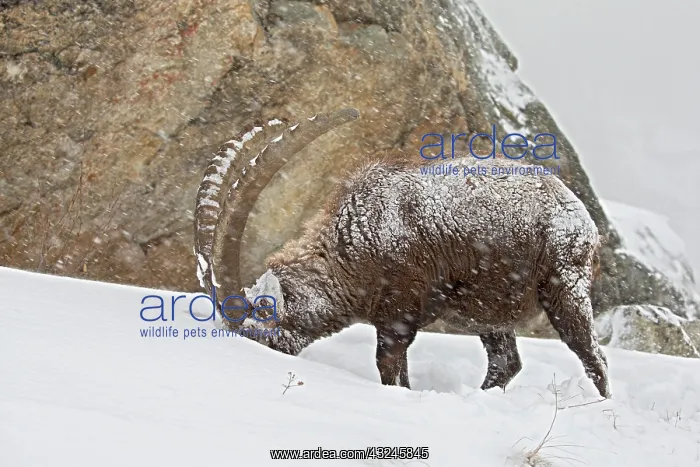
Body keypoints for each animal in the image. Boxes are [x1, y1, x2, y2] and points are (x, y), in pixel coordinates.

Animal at [193, 108, 611, 398]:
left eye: (264, 336)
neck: (352, 249)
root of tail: (583, 217)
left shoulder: (399, 314)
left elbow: (389, 369)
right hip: (488, 310)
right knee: (506, 362)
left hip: (564, 287)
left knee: (594, 358)